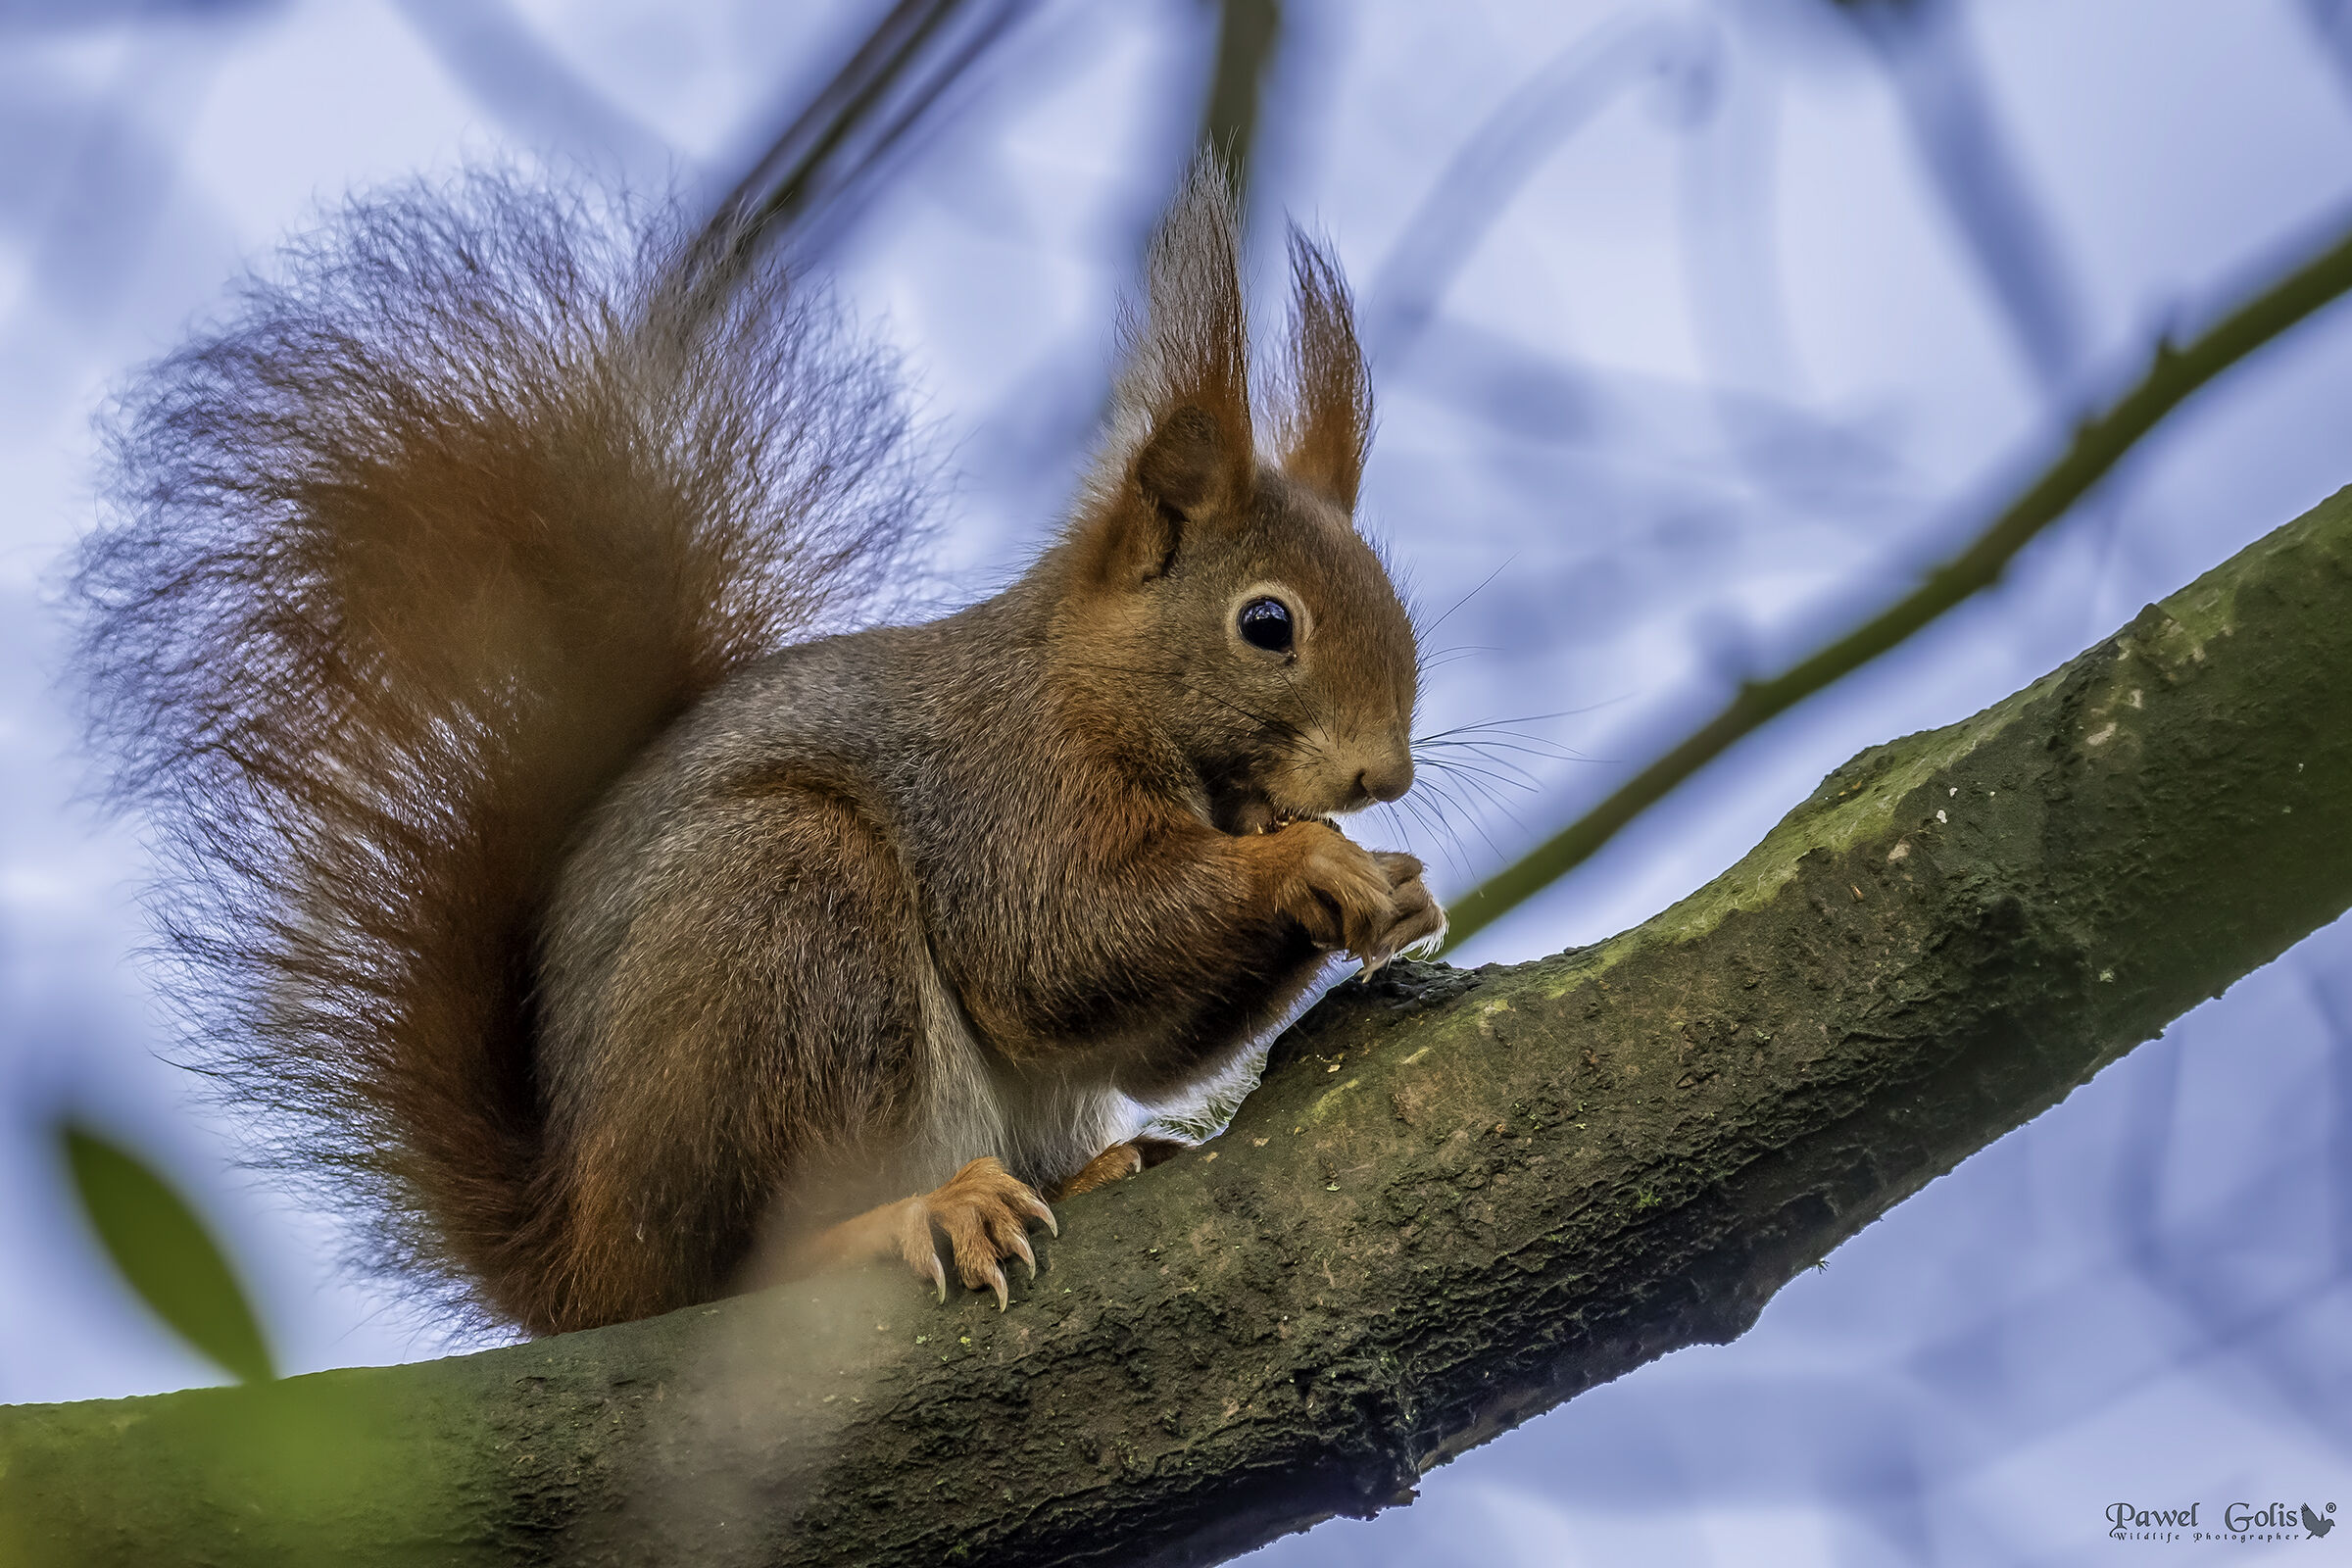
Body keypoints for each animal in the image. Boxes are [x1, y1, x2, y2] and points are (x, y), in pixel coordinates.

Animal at [71, 160, 1443, 1338]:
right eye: (1266, 623)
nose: (1384, 776)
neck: (1097, 685)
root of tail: (583, 1268)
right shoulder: (1003, 780)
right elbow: (1055, 947)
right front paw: (1313, 865)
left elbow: (1145, 1045)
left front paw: (1398, 888)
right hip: (789, 922)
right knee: (744, 1269)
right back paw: (919, 1210)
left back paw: (1100, 1168)